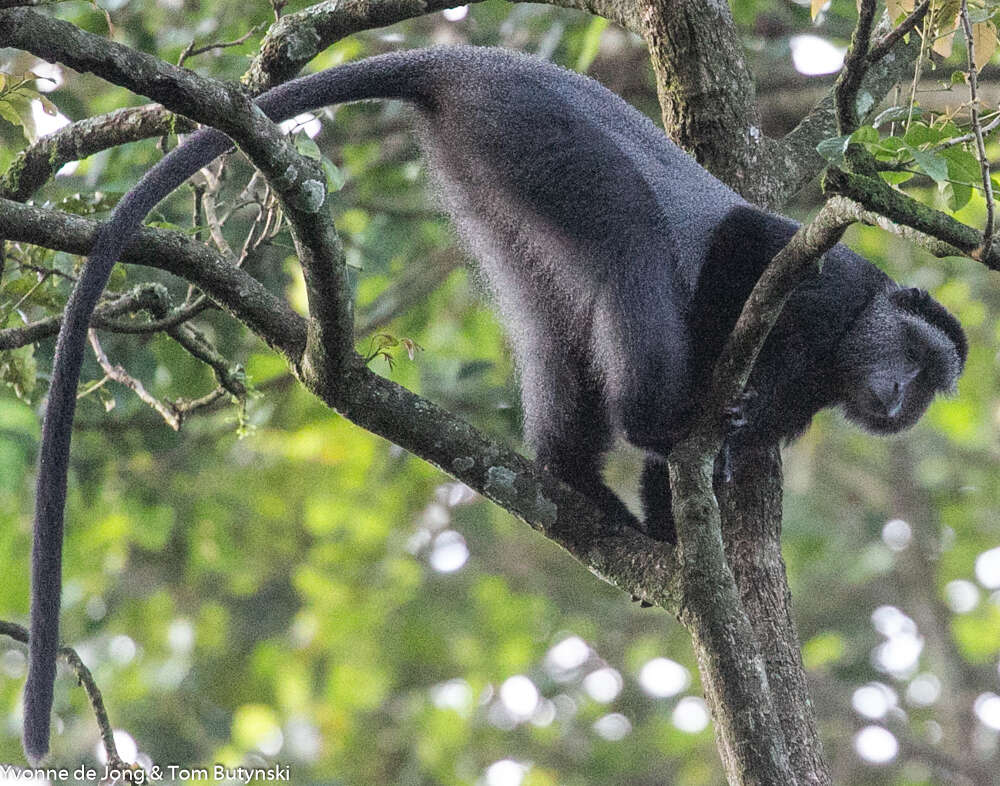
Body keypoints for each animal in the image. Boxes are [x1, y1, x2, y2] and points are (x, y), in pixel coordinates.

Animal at [21, 44, 960, 760]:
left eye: (924, 385)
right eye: (916, 361)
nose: (898, 398)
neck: (837, 355)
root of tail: (475, 62)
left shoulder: (801, 397)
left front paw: (675, 525)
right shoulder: (827, 284)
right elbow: (741, 247)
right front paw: (682, 429)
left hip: (494, 175)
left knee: (555, 326)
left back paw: (570, 477)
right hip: (543, 140)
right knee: (629, 242)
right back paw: (647, 411)